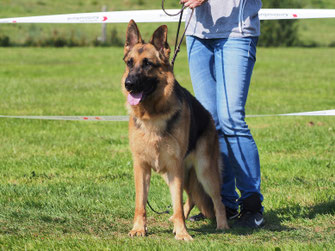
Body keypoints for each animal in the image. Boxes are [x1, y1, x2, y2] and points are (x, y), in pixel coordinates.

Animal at [122, 20, 230, 241]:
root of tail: (209, 116)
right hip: (169, 173)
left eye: (147, 63)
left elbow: (178, 203)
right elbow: (140, 203)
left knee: (217, 199)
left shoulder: (174, 166)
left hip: (204, 171)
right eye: (129, 63)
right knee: (191, 198)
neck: (152, 115)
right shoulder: (142, 167)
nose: (128, 84)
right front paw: (139, 228)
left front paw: (182, 233)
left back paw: (222, 225)